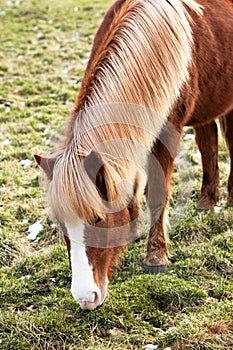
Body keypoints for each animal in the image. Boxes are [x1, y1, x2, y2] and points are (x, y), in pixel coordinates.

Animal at [34, 0, 233, 312]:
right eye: (62, 225)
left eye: (98, 219)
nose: (85, 298)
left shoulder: (166, 132)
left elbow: (157, 192)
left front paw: (156, 257)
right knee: (208, 143)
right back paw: (206, 202)